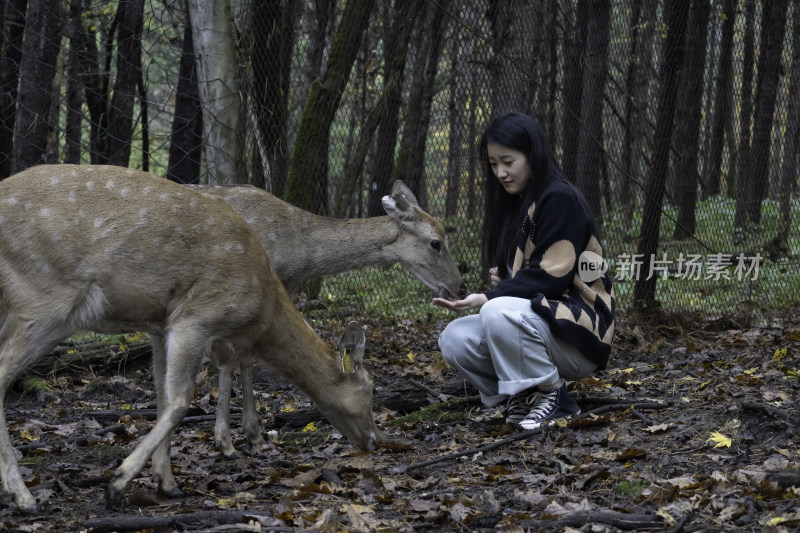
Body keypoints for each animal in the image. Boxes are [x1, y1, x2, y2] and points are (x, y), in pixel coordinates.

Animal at [0, 163, 380, 512]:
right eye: (370, 388)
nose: (375, 441)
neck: (264, 305)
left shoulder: (160, 326)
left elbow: (162, 396)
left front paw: (166, 482)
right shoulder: (197, 317)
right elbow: (181, 400)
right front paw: (118, 481)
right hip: (43, 298)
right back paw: (23, 496)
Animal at [194, 181, 466, 456]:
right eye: (435, 243)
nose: (460, 287)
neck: (293, 254)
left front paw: (251, 435)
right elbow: (238, 360)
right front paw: (242, 437)